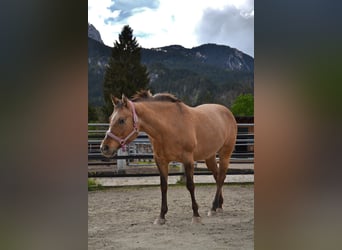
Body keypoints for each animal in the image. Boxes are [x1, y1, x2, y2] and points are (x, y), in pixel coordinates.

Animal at [100, 90, 236, 225]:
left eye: (121, 120)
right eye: (110, 119)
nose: (104, 147)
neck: (169, 127)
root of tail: (227, 111)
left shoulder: (188, 160)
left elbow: (190, 185)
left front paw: (196, 215)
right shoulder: (161, 161)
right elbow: (163, 187)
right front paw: (161, 216)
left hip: (225, 153)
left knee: (221, 177)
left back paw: (213, 208)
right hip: (210, 156)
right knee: (217, 177)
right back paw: (219, 205)